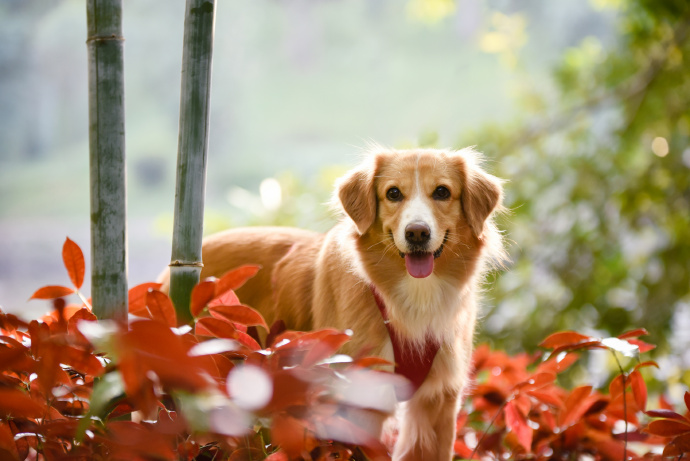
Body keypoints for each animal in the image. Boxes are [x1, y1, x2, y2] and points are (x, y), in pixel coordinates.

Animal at [162, 147, 506, 460]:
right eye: (393, 193)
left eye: (442, 192)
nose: (417, 233)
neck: (411, 298)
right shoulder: (357, 401)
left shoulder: (438, 403)